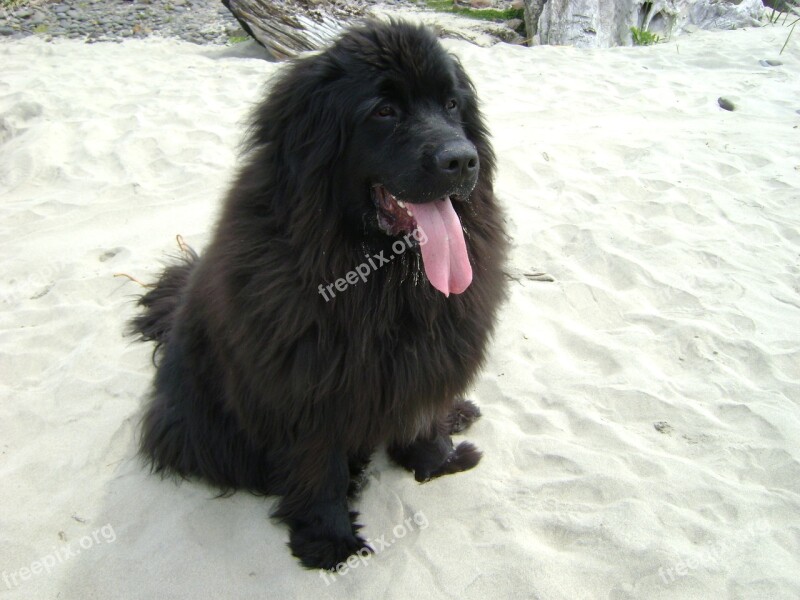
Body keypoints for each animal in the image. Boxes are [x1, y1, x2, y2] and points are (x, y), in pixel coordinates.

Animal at [130, 19, 506, 572]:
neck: (378, 276)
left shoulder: (426, 354)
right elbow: (318, 466)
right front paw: (330, 542)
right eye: (384, 111)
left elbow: (421, 415)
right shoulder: (306, 389)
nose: (461, 159)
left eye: (453, 104)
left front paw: (438, 460)